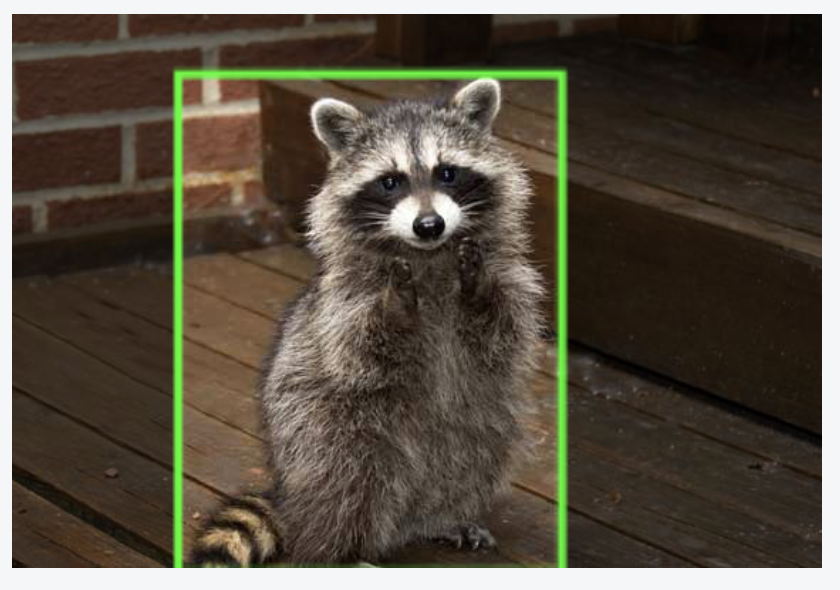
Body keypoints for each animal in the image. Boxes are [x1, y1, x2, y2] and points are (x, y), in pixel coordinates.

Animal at [191, 79, 544, 566]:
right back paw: (336, 547)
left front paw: (477, 289)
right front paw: (396, 308)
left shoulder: (512, 275)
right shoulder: (343, 301)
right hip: (321, 423)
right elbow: (359, 353)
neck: (429, 257)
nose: (429, 225)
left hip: (483, 414)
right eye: (390, 181)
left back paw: (442, 515)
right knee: (347, 475)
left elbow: (505, 333)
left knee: (479, 453)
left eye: (447, 173)